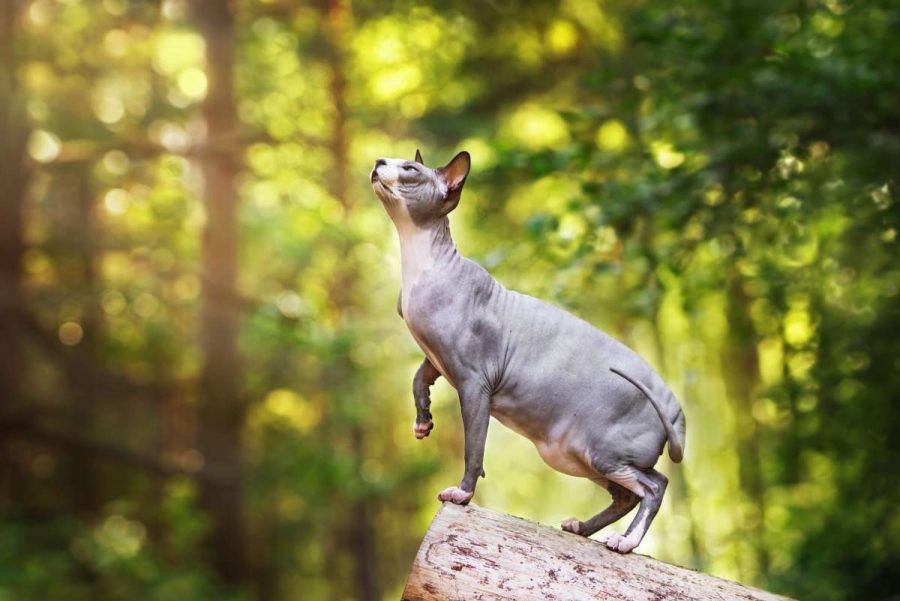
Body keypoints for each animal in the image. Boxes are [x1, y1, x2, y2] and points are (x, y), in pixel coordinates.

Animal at [370, 150, 684, 552]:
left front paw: (462, 493)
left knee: (655, 486)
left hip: (601, 452)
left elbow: (474, 448)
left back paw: (625, 542)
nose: (378, 160)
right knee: (628, 494)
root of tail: (674, 409)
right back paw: (581, 528)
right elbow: (416, 381)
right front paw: (423, 422)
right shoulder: (437, 359)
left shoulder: (474, 383)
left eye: (410, 169)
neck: (419, 264)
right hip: (574, 455)